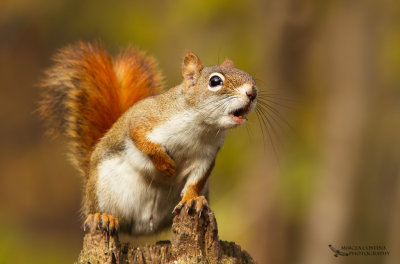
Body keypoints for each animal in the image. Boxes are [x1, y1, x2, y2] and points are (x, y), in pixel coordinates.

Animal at [39, 41, 258, 235]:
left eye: (251, 78)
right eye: (215, 81)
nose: (252, 92)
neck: (202, 127)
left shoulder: (206, 156)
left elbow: (196, 181)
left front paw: (192, 199)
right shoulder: (146, 117)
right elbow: (140, 137)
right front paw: (164, 163)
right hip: (100, 190)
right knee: (97, 211)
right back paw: (101, 216)